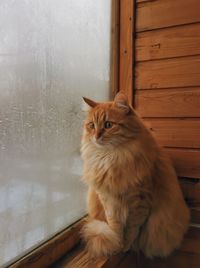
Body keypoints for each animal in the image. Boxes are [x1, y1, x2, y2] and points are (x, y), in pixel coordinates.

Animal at [80, 92, 190, 258]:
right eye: (91, 125)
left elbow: (133, 228)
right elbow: (115, 224)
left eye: (108, 125)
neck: (111, 158)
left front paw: (126, 246)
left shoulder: (141, 199)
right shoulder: (108, 199)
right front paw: (117, 243)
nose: (96, 136)